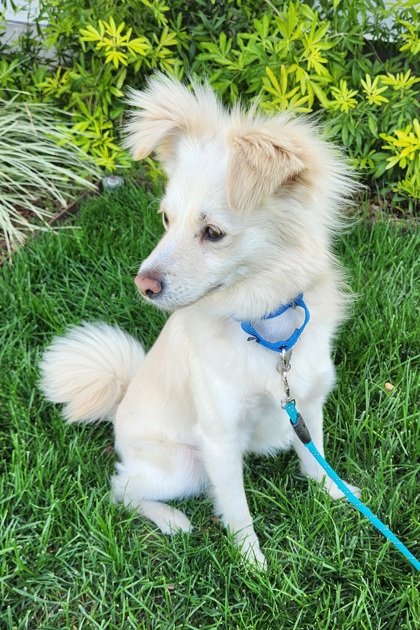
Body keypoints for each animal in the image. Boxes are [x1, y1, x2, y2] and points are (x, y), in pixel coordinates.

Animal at [40, 71, 360, 572]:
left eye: (213, 233)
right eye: (166, 219)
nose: (143, 285)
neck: (265, 329)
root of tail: (120, 405)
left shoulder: (307, 404)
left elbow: (315, 459)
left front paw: (336, 494)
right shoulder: (218, 437)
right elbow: (237, 507)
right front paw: (253, 566)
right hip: (182, 468)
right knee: (121, 489)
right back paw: (171, 520)